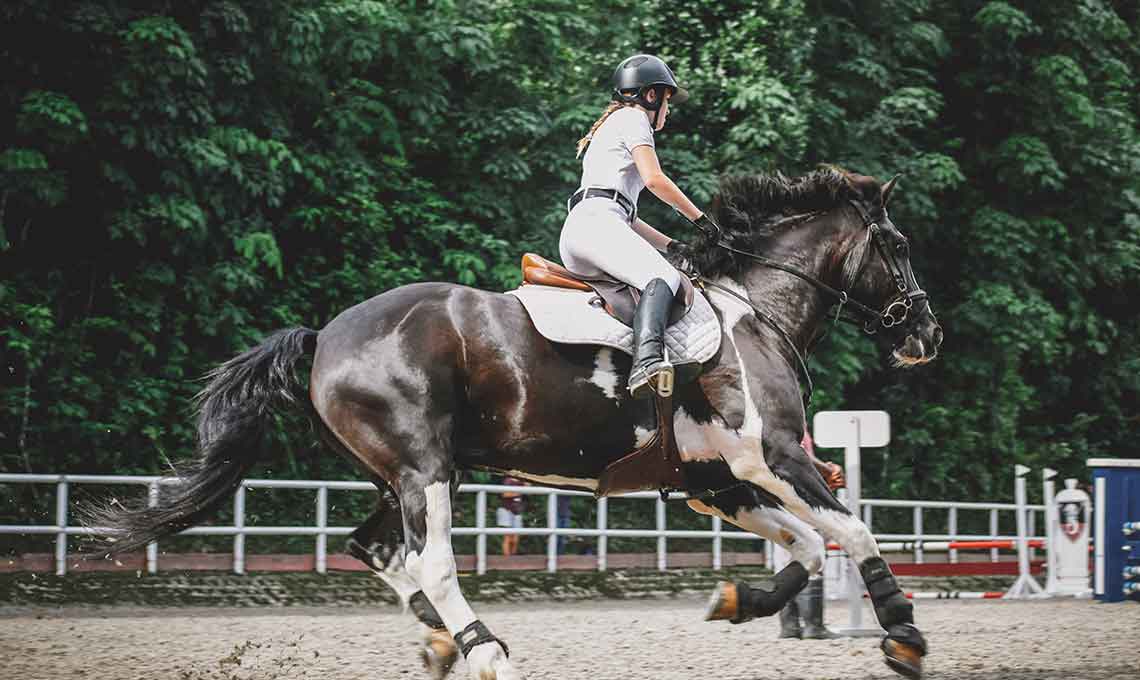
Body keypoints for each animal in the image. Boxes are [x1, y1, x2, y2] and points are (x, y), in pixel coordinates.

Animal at [86, 168, 943, 680]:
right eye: (898, 246)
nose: (926, 337)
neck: (755, 311)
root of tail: (324, 335)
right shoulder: (771, 458)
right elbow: (854, 530)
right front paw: (903, 635)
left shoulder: (721, 482)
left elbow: (808, 547)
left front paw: (737, 601)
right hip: (425, 468)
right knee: (429, 561)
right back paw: (484, 649)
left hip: (403, 474)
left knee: (371, 548)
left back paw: (442, 639)